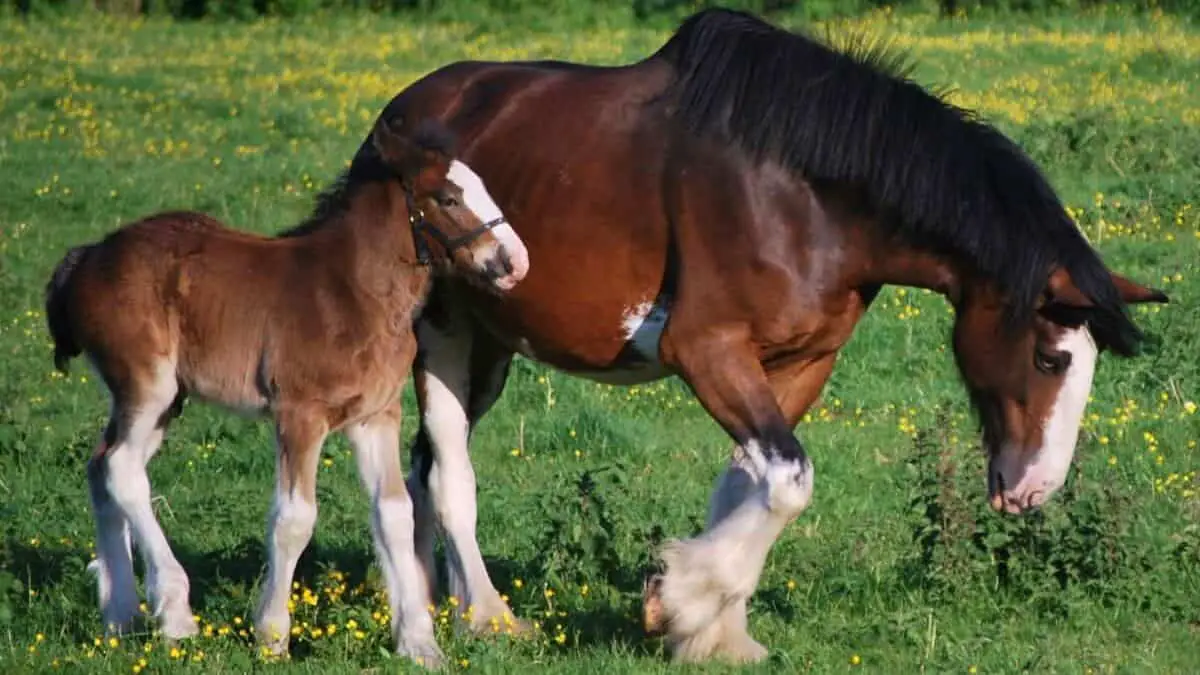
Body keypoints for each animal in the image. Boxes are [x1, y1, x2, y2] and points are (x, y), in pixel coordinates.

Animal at [44, 118, 528, 662]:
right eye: (448, 197)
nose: (514, 261)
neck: (353, 291)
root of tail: (85, 258)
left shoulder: (375, 416)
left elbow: (395, 513)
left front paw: (419, 643)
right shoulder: (300, 414)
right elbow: (294, 519)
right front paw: (272, 635)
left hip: (164, 401)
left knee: (100, 466)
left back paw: (120, 617)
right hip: (146, 384)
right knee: (121, 468)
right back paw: (175, 614)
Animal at [367, 9, 1171, 662]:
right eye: (1050, 356)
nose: (1035, 490)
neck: (804, 192)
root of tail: (401, 117)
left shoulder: (798, 362)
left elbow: (751, 480)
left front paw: (710, 629)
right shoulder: (707, 350)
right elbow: (787, 482)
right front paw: (680, 600)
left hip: (492, 346)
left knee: (423, 467)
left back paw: (431, 605)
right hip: (444, 333)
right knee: (447, 472)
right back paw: (489, 616)